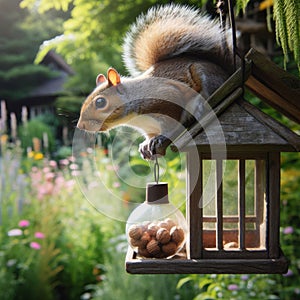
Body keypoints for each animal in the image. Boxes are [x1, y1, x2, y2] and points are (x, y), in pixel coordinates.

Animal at [77, 4, 234, 159]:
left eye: (100, 102)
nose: (80, 126)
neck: (133, 118)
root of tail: (224, 71)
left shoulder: (167, 99)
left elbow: (171, 125)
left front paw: (161, 138)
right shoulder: (148, 127)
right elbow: (149, 135)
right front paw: (145, 145)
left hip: (204, 75)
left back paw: (200, 105)